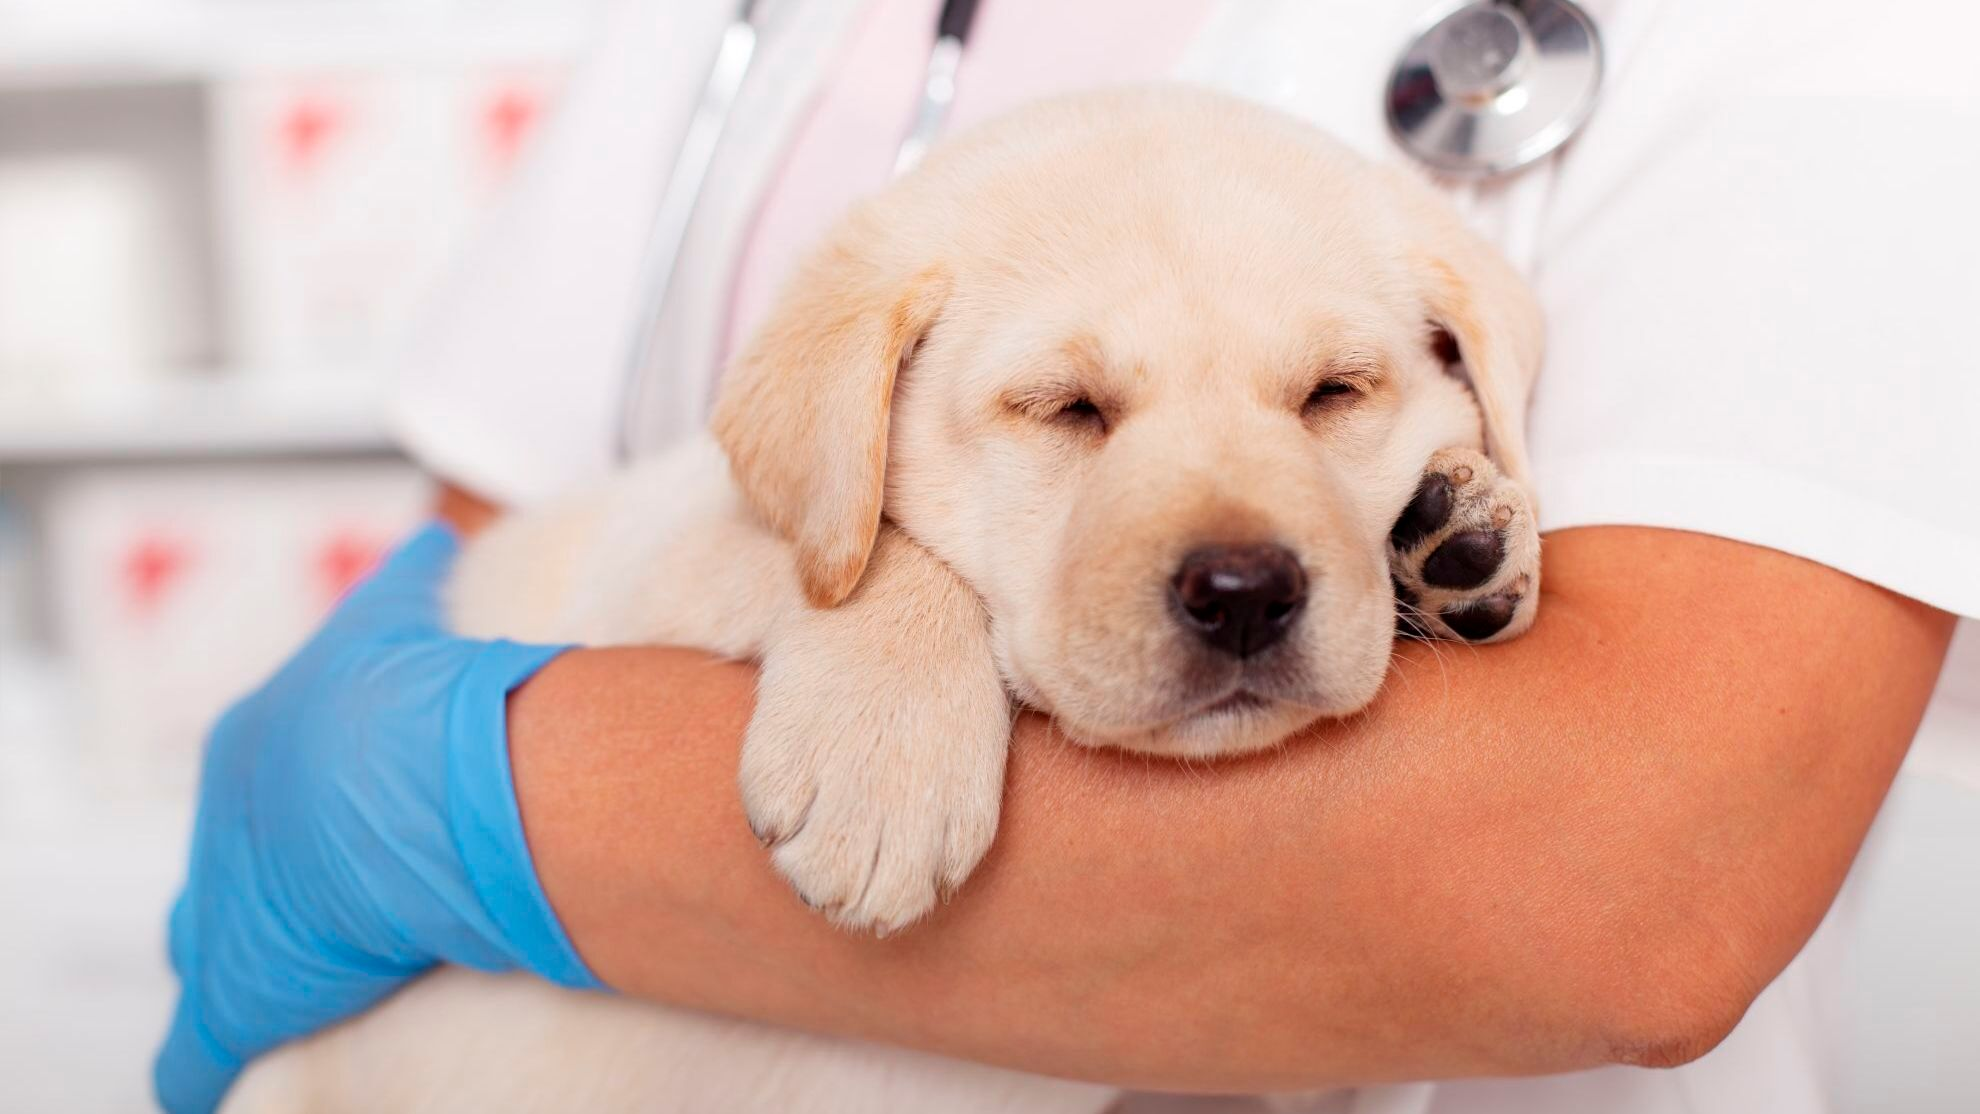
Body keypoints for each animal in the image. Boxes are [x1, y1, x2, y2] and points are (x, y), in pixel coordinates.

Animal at [220, 85, 1544, 1114]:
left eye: (1333, 394)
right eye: (1067, 409)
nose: (1245, 594)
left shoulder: (1278, 1069)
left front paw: (1465, 520)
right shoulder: (639, 562)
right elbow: (864, 551)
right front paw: (882, 765)